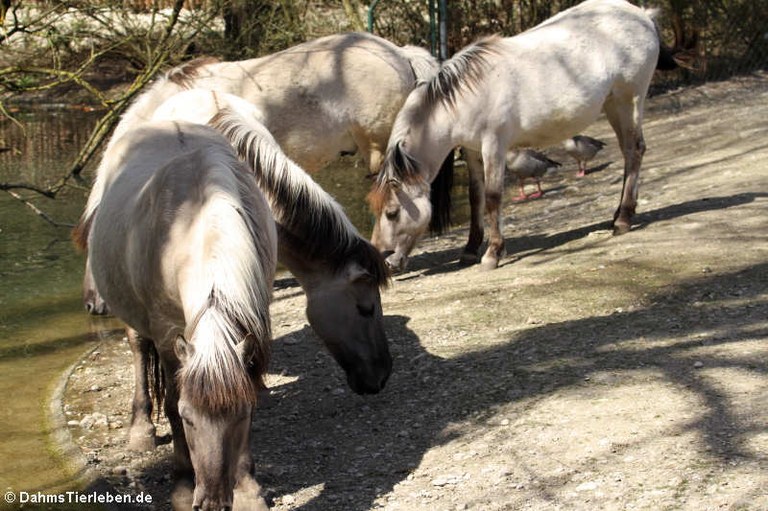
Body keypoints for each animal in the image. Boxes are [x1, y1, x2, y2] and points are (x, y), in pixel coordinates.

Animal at [86, 119, 276, 508]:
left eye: (241, 417)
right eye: (189, 420)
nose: (213, 502)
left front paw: (248, 490)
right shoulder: (166, 335)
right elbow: (172, 403)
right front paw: (183, 484)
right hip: (135, 320)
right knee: (138, 351)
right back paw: (141, 430)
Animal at [368, 0, 688, 272]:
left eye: (393, 213)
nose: (385, 260)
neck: (463, 97)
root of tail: (642, 15)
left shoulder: (493, 145)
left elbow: (493, 197)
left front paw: (493, 253)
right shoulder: (471, 151)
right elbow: (475, 197)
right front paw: (470, 249)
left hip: (628, 100)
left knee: (634, 151)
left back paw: (622, 220)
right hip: (612, 105)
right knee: (627, 152)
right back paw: (619, 213)